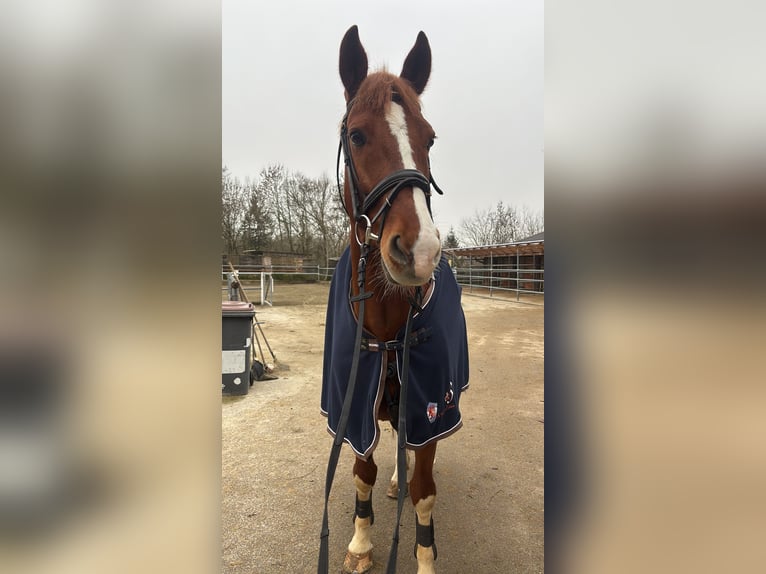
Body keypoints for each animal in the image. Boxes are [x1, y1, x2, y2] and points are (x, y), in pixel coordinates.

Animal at [319, 26, 469, 574]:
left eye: (429, 138)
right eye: (357, 135)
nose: (419, 250)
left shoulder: (430, 410)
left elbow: (423, 490)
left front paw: (424, 557)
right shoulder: (353, 405)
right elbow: (361, 470)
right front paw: (362, 543)